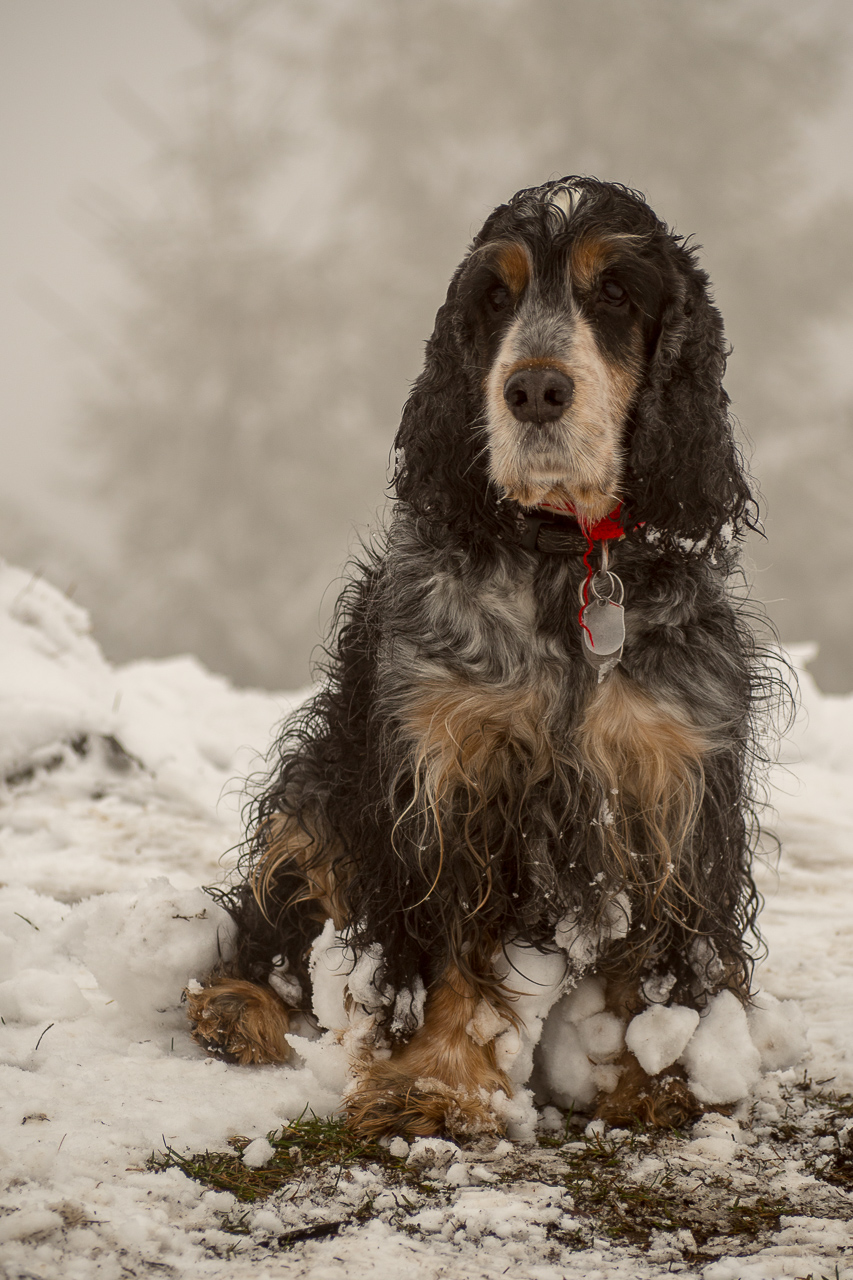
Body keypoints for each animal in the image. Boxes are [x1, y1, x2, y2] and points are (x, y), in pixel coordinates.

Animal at [189, 175, 768, 1136]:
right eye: (494, 298)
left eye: (617, 292)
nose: (533, 389)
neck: (567, 559)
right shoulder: (445, 779)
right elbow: (449, 953)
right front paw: (432, 1087)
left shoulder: (672, 779)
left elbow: (661, 958)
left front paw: (664, 1080)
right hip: (318, 796)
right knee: (271, 921)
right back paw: (236, 1010)